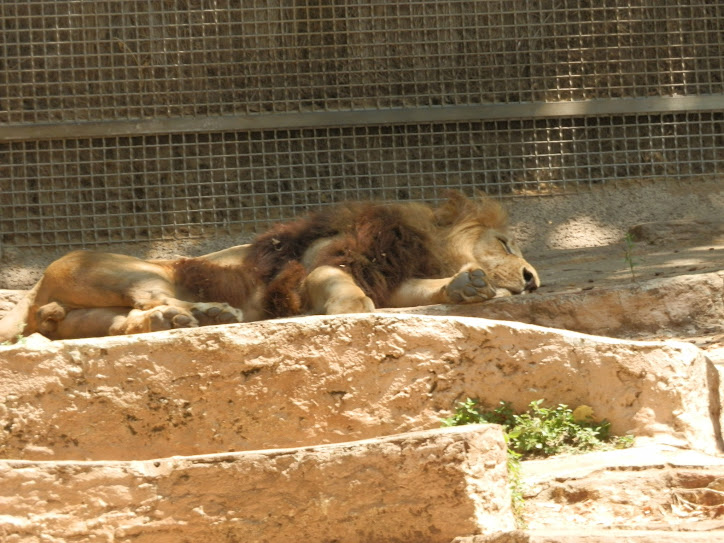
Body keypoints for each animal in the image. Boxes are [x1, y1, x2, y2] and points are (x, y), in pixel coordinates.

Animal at [0, 193, 536, 342]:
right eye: (505, 242)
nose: (534, 280)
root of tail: (34, 291)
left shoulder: (393, 279)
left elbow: (425, 291)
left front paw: (466, 287)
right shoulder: (324, 259)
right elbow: (333, 280)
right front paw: (348, 307)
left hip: (88, 316)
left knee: (128, 320)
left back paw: (188, 319)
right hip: (130, 269)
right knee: (152, 296)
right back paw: (206, 314)